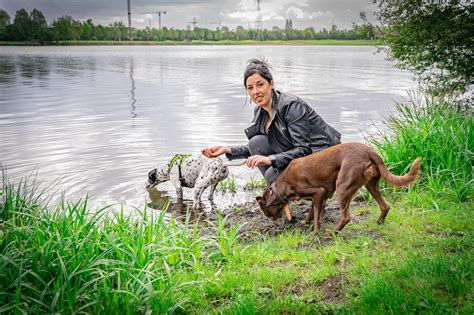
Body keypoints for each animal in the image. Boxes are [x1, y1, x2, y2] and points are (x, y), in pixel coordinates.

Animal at [258, 144, 420, 233]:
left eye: (267, 213)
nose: (277, 226)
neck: (281, 186)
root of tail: (370, 151)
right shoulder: (319, 196)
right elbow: (312, 213)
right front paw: (306, 223)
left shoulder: (319, 192)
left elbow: (316, 217)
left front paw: (314, 232)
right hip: (371, 185)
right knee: (385, 206)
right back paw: (379, 223)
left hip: (342, 188)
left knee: (345, 217)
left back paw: (333, 232)